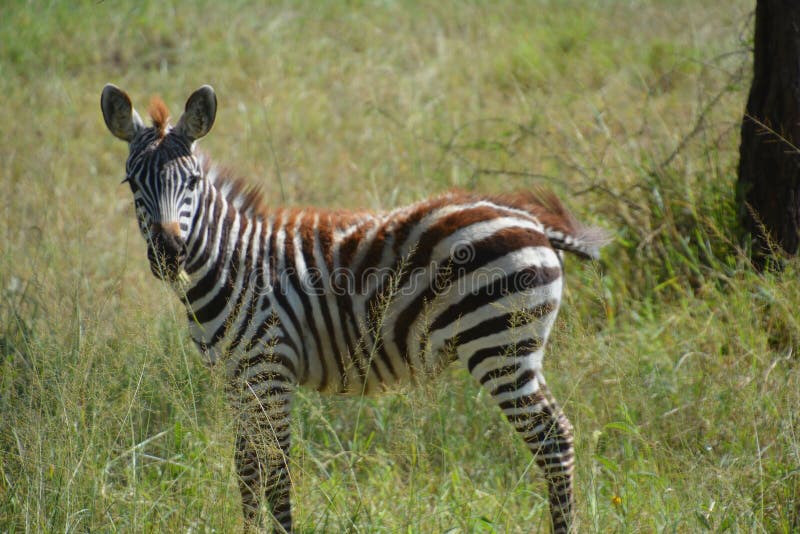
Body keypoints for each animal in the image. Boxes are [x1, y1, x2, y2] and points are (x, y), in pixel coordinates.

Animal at [101, 83, 606, 533]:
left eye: (192, 182)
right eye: (132, 183)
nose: (169, 254)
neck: (231, 265)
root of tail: (529, 217)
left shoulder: (270, 372)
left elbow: (276, 473)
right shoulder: (234, 379)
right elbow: (246, 469)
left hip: (500, 345)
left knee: (553, 440)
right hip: (517, 349)